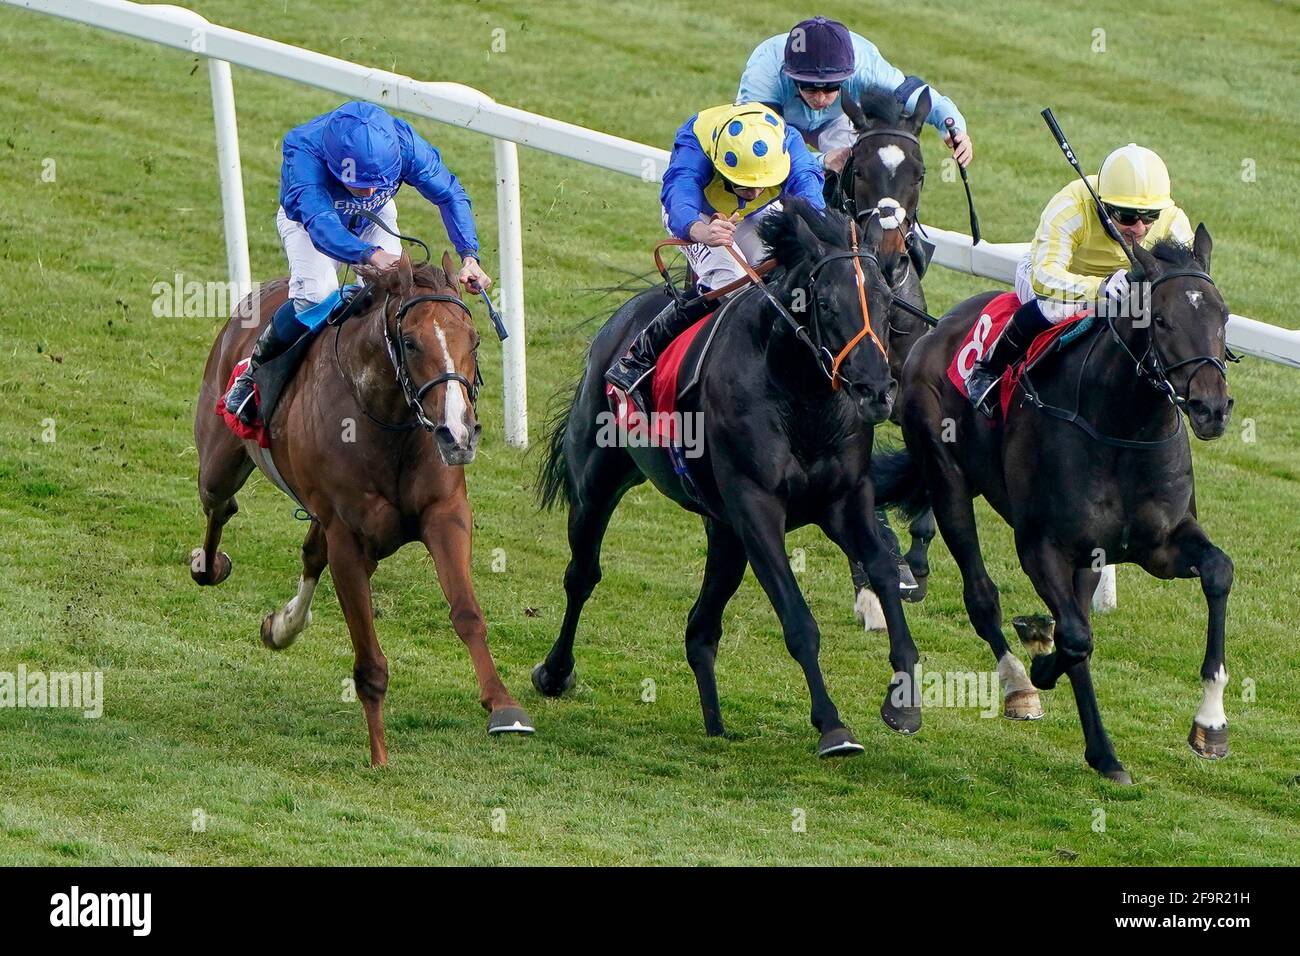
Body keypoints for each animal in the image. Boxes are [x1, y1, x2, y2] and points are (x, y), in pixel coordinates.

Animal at [189, 251, 533, 764]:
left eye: (473, 340)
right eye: (410, 342)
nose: (458, 434)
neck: (388, 421)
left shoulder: (445, 513)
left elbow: (467, 613)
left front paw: (504, 707)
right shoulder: (348, 537)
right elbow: (369, 660)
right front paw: (379, 756)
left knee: (310, 553)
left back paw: (284, 625)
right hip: (219, 461)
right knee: (220, 505)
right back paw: (209, 565)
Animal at [533, 205, 920, 759]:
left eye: (888, 302)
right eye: (825, 302)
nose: (876, 390)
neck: (799, 394)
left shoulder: (844, 500)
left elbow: (885, 572)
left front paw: (903, 700)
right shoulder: (757, 508)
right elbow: (797, 619)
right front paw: (832, 725)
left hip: (725, 534)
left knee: (700, 628)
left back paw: (715, 724)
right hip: (598, 483)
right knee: (582, 575)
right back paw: (555, 672)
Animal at [878, 230, 1232, 785]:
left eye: (1223, 316)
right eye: (1161, 320)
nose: (1211, 408)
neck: (1121, 429)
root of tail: (937, 331)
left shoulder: (1158, 545)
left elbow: (1218, 571)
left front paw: (1211, 724)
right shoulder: (1042, 546)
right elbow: (1075, 638)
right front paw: (1039, 665)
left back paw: (1104, 753)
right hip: (947, 478)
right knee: (983, 597)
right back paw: (1020, 685)